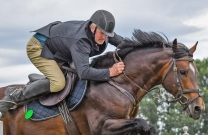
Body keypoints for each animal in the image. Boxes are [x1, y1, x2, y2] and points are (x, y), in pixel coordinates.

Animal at [0, 30, 205, 134]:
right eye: (183, 72)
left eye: (196, 72)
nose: (199, 108)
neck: (120, 84)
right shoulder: (102, 126)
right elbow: (144, 124)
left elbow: (148, 127)